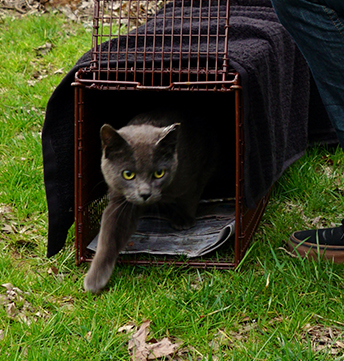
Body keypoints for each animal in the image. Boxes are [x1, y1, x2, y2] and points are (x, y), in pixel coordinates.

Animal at [83, 108, 218, 292]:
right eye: (128, 174)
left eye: (159, 173)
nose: (145, 193)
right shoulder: (119, 200)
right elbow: (108, 234)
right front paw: (95, 279)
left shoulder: (193, 173)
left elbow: (190, 195)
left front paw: (184, 219)